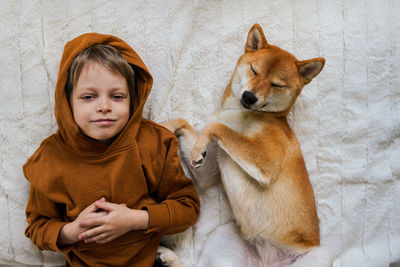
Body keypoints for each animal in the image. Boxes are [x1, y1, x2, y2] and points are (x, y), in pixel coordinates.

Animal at [163, 24, 332, 266]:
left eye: (277, 85)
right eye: (254, 70)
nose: (250, 96)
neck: (240, 113)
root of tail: (267, 262)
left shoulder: (265, 162)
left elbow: (216, 127)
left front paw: (197, 147)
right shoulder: (209, 171)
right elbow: (183, 122)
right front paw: (164, 126)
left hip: (319, 254)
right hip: (222, 237)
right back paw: (169, 257)